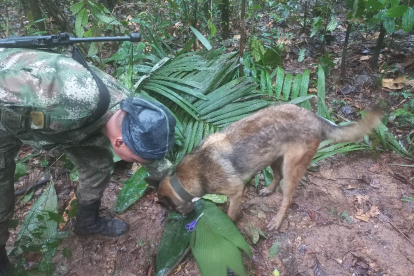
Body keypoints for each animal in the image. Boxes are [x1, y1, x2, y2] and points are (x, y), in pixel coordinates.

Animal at [147, 103, 384, 231]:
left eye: (171, 209)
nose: (183, 219)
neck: (184, 179)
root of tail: (315, 117)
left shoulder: (236, 191)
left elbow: (231, 214)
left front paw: (230, 224)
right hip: (273, 158)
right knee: (276, 177)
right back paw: (268, 190)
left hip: (291, 168)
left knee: (287, 198)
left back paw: (277, 221)